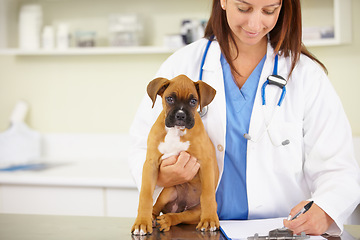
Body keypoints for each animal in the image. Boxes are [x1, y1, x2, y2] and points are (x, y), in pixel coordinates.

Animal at [131, 74, 218, 235]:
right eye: (169, 99)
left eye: (193, 101)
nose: (180, 115)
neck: (176, 132)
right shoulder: (151, 164)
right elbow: (145, 195)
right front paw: (141, 222)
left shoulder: (206, 163)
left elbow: (208, 194)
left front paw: (209, 220)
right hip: (167, 191)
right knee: (156, 208)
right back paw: (152, 219)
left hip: (195, 213)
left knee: (181, 216)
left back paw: (167, 220)